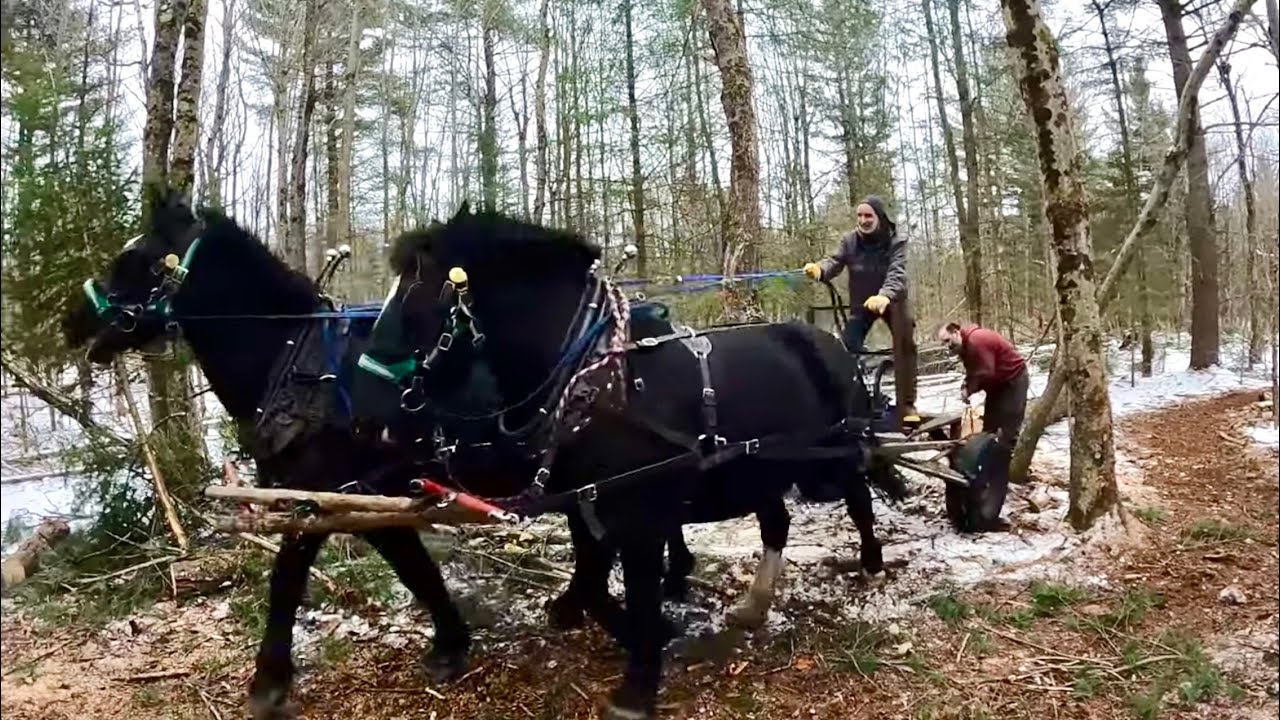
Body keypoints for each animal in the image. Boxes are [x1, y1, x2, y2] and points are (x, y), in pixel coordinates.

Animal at [64, 191, 481, 720]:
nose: (72, 319)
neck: (299, 369)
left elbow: (285, 583)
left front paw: (268, 683)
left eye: (136, 261)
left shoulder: (314, 501)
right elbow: (416, 568)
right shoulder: (369, 500)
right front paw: (451, 643)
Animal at [373, 204, 904, 720]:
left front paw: (637, 687)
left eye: (415, 292)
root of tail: (834, 343)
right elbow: (591, 581)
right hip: (757, 468)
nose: (375, 395)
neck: (597, 380)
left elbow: (639, 588)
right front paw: (631, 630)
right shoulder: (585, 504)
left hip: (827, 461)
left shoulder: (641, 514)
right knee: (778, 521)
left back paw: (872, 563)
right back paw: (754, 606)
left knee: (857, 495)